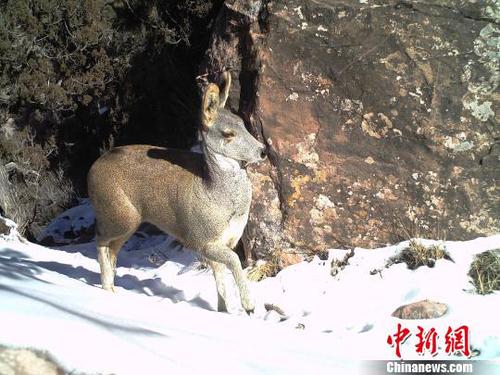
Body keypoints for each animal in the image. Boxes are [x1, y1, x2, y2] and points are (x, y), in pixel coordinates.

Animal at [87, 72, 266, 312]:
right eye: (228, 133)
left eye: (244, 124)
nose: (262, 151)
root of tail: (93, 168)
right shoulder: (201, 240)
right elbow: (234, 262)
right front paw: (249, 305)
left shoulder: (227, 241)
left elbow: (220, 281)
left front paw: (224, 310)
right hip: (120, 215)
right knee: (100, 240)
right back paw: (106, 286)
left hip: (126, 223)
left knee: (111, 249)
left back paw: (111, 289)